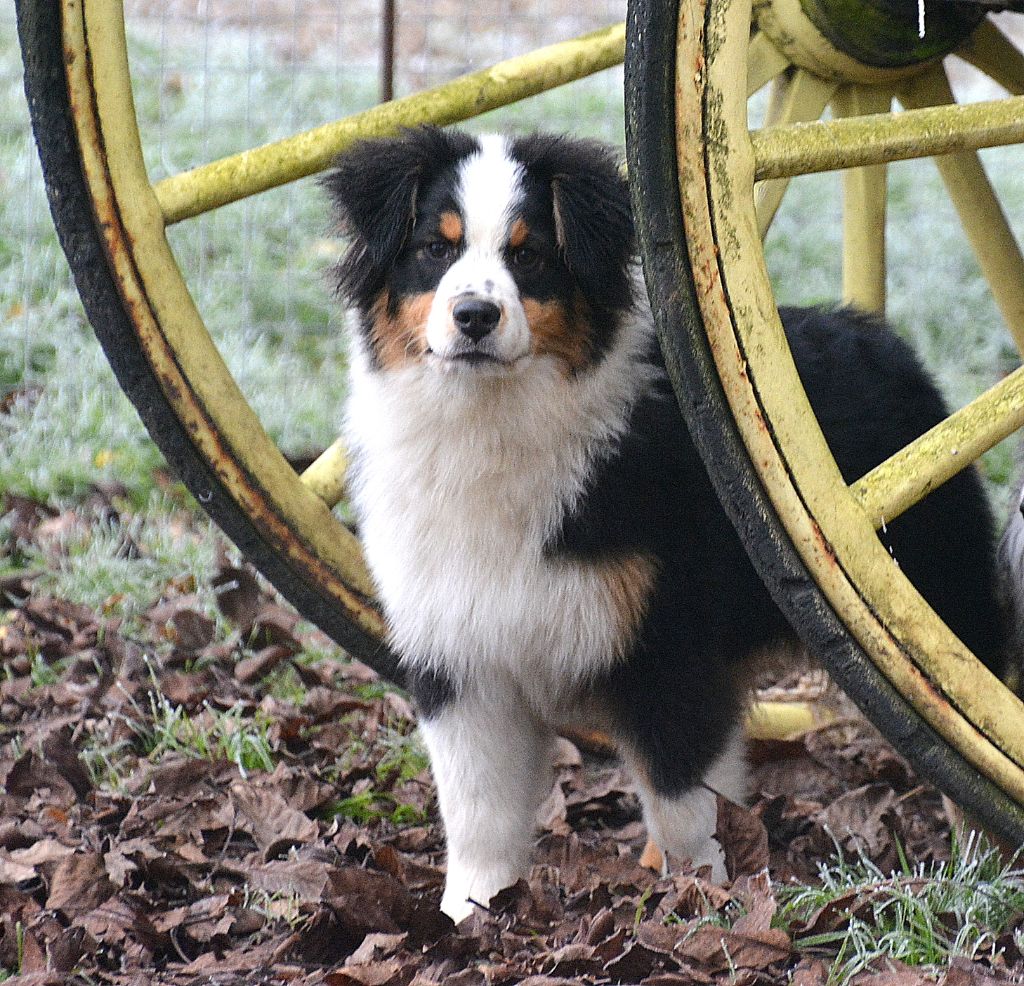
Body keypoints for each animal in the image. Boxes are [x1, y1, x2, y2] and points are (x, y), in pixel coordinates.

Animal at [325, 127, 1007, 921]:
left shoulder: (665, 642)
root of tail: (876, 333)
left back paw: (979, 867)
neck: (488, 424)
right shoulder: (458, 657)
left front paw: (693, 904)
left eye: (532, 255)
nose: (474, 317)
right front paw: (470, 914)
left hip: (934, 592)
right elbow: (477, 809)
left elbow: (681, 797)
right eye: (435, 248)